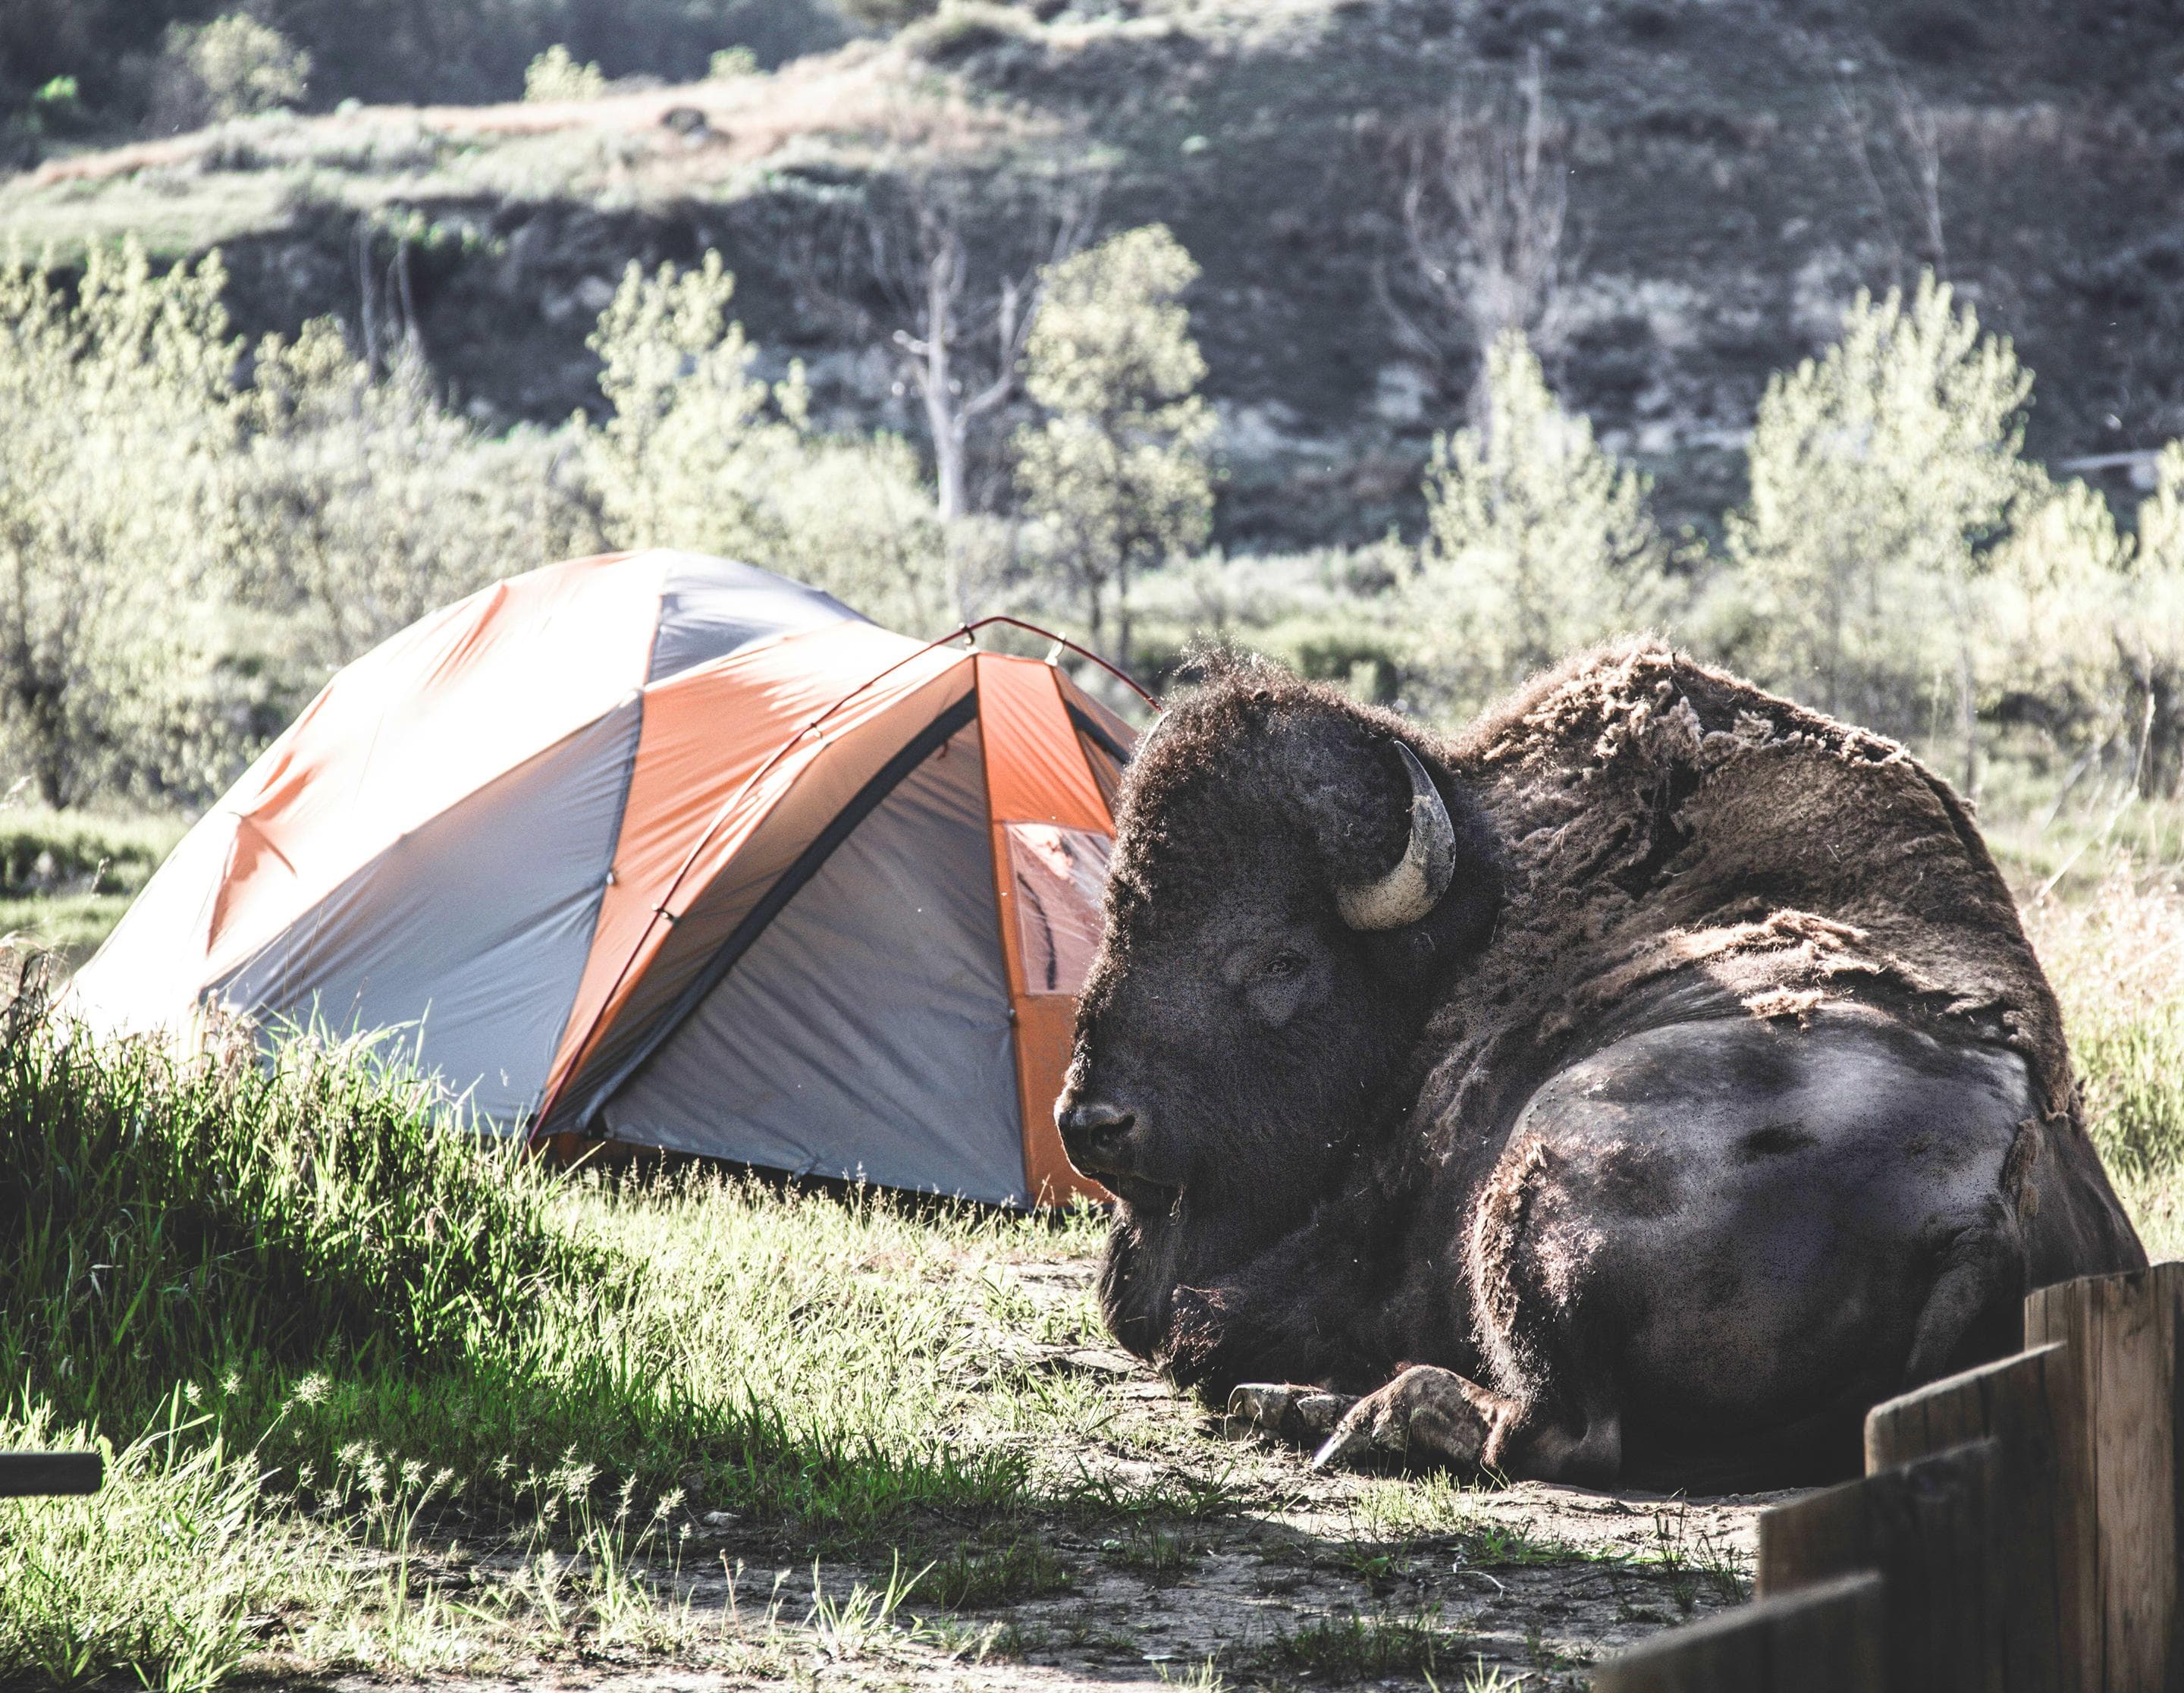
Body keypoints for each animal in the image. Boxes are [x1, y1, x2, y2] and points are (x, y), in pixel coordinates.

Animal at [1056, 644, 2144, 1488]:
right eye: (1114, 916)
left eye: (1282, 960)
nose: (1092, 1122)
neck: (1470, 928)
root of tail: (1985, 1204)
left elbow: (1208, 1321)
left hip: (1541, 1173)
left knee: (1557, 1429)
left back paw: (1324, 1412)